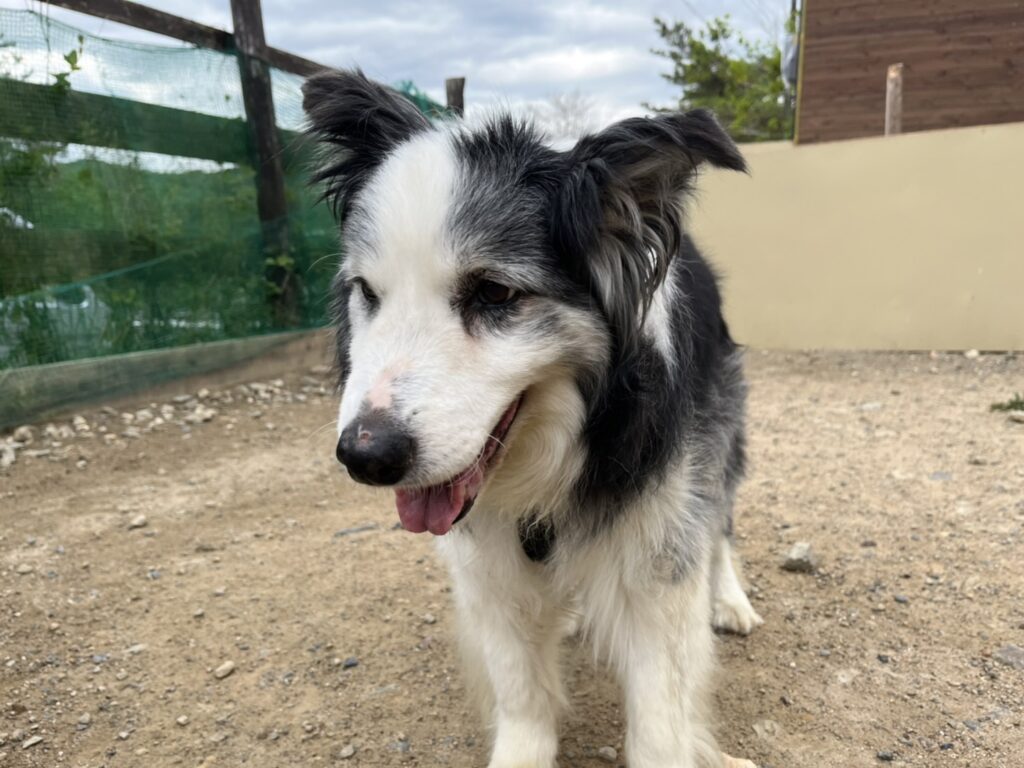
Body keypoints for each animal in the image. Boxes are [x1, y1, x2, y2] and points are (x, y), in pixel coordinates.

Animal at [303, 69, 762, 768]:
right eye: (367, 293)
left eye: (494, 293)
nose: (365, 456)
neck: (558, 452)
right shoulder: (487, 565)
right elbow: (521, 690)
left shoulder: (659, 539)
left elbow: (660, 715)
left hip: (721, 435)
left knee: (720, 528)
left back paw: (730, 599)